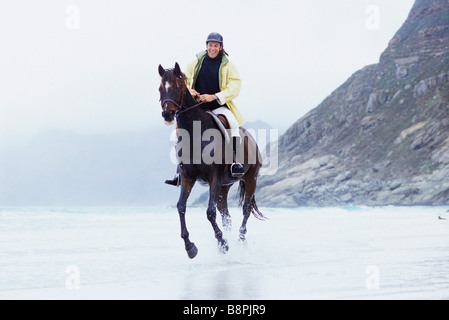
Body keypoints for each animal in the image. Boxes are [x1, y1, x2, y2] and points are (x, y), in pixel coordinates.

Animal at [158, 63, 264, 260]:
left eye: (177, 86)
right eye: (160, 88)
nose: (167, 114)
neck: (195, 133)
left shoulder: (213, 178)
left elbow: (209, 212)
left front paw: (222, 243)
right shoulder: (188, 177)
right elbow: (181, 207)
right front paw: (190, 247)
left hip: (250, 179)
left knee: (245, 210)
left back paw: (240, 240)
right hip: (224, 186)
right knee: (225, 213)